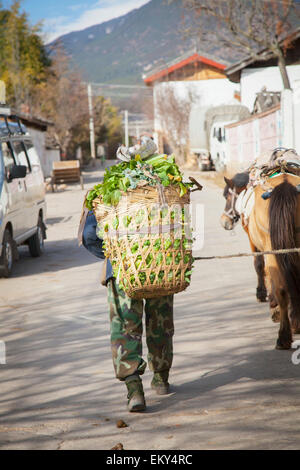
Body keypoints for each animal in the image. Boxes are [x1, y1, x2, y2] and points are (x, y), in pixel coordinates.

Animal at [220, 173, 300, 348]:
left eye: (227, 195)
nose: (224, 222)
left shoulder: (253, 240)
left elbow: (259, 266)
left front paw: (265, 296)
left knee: (281, 288)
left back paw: (283, 335)